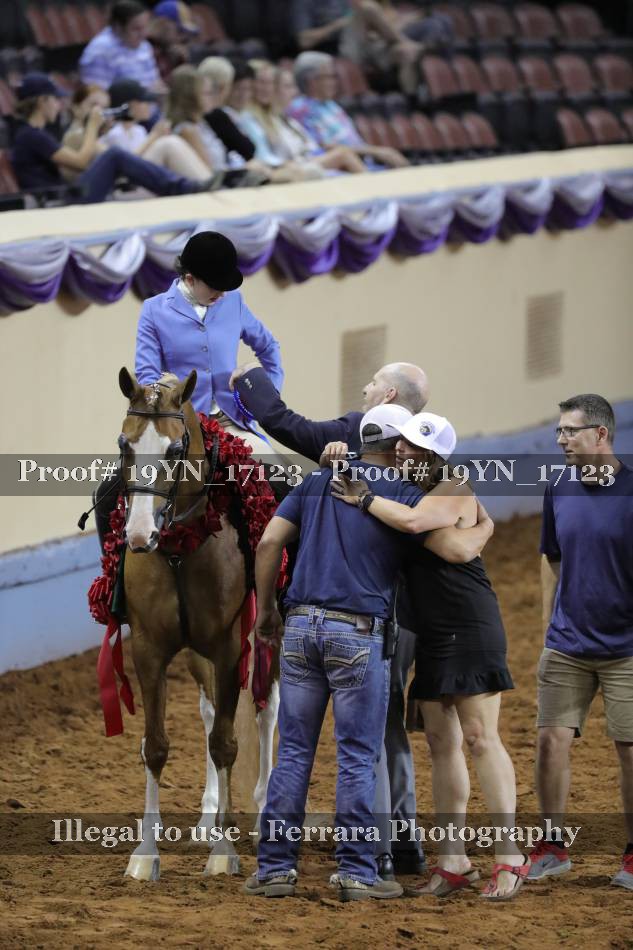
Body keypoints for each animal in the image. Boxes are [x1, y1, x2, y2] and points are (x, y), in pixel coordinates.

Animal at [115, 366, 279, 881]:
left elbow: (226, 743)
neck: (180, 552)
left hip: (269, 635)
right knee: (210, 714)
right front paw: (145, 855)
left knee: (268, 710)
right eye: (125, 445)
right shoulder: (150, 649)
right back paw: (209, 817)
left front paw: (224, 853)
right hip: (196, 655)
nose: (138, 535)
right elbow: (156, 745)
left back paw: (265, 812)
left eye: (173, 451)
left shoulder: (229, 648)